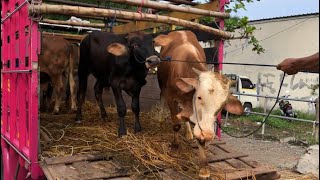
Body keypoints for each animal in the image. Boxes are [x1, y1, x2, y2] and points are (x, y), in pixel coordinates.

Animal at [154, 30, 242, 178]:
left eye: (222, 105)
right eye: (199, 97)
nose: (208, 135)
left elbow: (199, 134)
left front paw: (204, 168)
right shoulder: (171, 97)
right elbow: (176, 124)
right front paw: (175, 147)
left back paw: (188, 133)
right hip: (162, 85)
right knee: (162, 99)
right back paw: (160, 120)